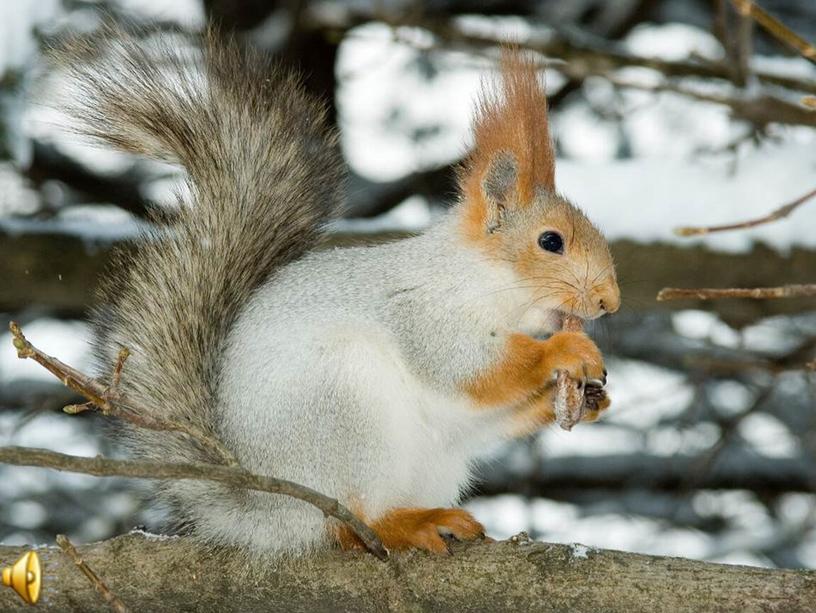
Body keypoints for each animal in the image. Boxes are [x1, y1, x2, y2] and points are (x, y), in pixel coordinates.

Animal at [55, 27, 620, 556]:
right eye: (551, 241)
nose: (609, 302)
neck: (484, 279)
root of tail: (267, 511)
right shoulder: (424, 313)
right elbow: (470, 367)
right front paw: (566, 350)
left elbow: (490, 413)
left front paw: (586, 399)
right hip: (343, 407)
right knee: (347, 524)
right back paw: (403, 525)